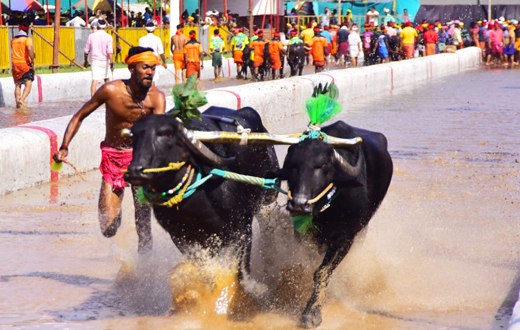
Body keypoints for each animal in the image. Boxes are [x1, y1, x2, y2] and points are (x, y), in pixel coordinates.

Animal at [123, 107, 278, 312]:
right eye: (135, 136)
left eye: (168, 133)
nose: (135, 171)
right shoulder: (183, 239)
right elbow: (207, 271)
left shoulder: (241, 229)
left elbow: (241, 272)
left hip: (268, 195)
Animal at [278, 121, 392, 328]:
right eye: (292, 165)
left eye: (323, 165)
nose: (299, 204)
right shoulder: (302, 235)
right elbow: (311, 265)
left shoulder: (345, 238)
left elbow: (322, 272)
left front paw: (311, 314)